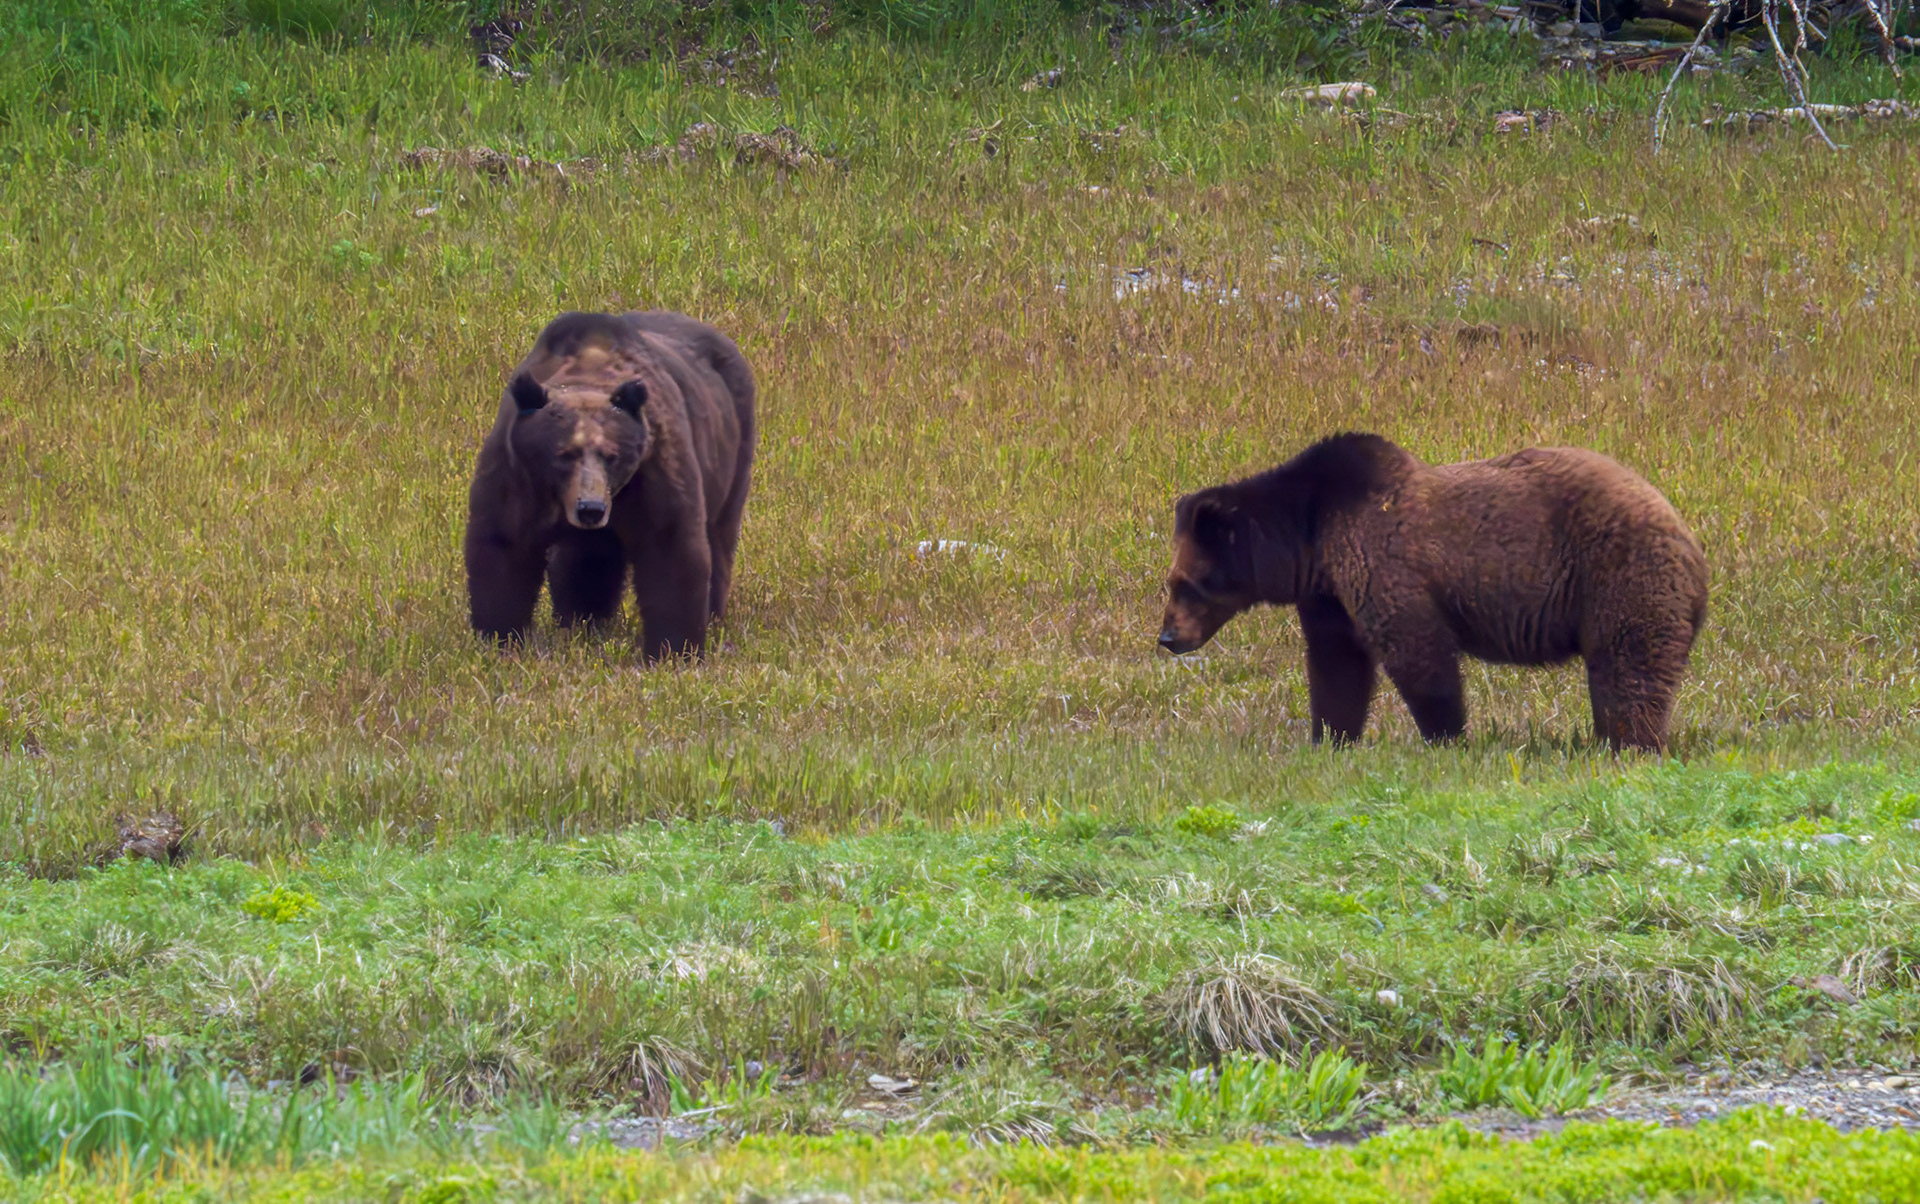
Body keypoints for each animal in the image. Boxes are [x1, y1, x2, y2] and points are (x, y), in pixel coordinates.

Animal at [463, 310, 756, 660]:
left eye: (612, 455)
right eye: (564, 454)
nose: (591, 508)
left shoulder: (652, 473)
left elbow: (670, 547)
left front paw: (674, 649)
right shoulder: (517, 476)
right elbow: (503, 546)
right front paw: (498, 637)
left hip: (732, 449)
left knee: (719, 534)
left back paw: (712, 613)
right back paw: (581, 621)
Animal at [1157, 433, 1708, 752]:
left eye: (1187, 582)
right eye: (1172, 581)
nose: (1167, 637)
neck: (1311, 539)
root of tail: (1691, 543)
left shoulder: (1382, 563)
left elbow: (1418, 653)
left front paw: (1445, 736)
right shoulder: (1330, 594)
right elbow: (1337, 665)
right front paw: (1329, 737)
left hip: (1618, 576)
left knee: (1628, 670)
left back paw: (1630, 742)